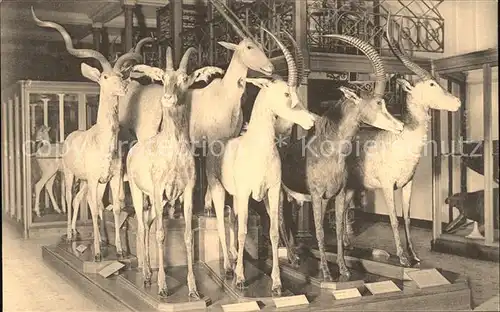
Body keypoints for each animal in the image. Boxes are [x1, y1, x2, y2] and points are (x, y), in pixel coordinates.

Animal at [31, 7, 142, 260]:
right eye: (104, 77)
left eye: (121, 75)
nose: (122, 88)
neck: (102, 143)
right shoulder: (92, 178)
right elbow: (93, 207)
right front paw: (98, 253)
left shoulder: (112, 178)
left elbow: (115, 207)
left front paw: (119, 250)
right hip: (71, 176)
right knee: (70, 198)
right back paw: (70, 235)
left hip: (86, 181)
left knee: (81, 200)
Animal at [280, 34, 404, 280]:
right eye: (378, 102)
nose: (400, 125)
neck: (330, 151)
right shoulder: (317, 197)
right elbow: (319, 231)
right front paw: (327, 274)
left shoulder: (338, 195)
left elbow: (336, 231)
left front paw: (344, 269)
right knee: (278, 223)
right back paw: (292, 259)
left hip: (293, 199)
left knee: (287, 224)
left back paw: (294, 257)